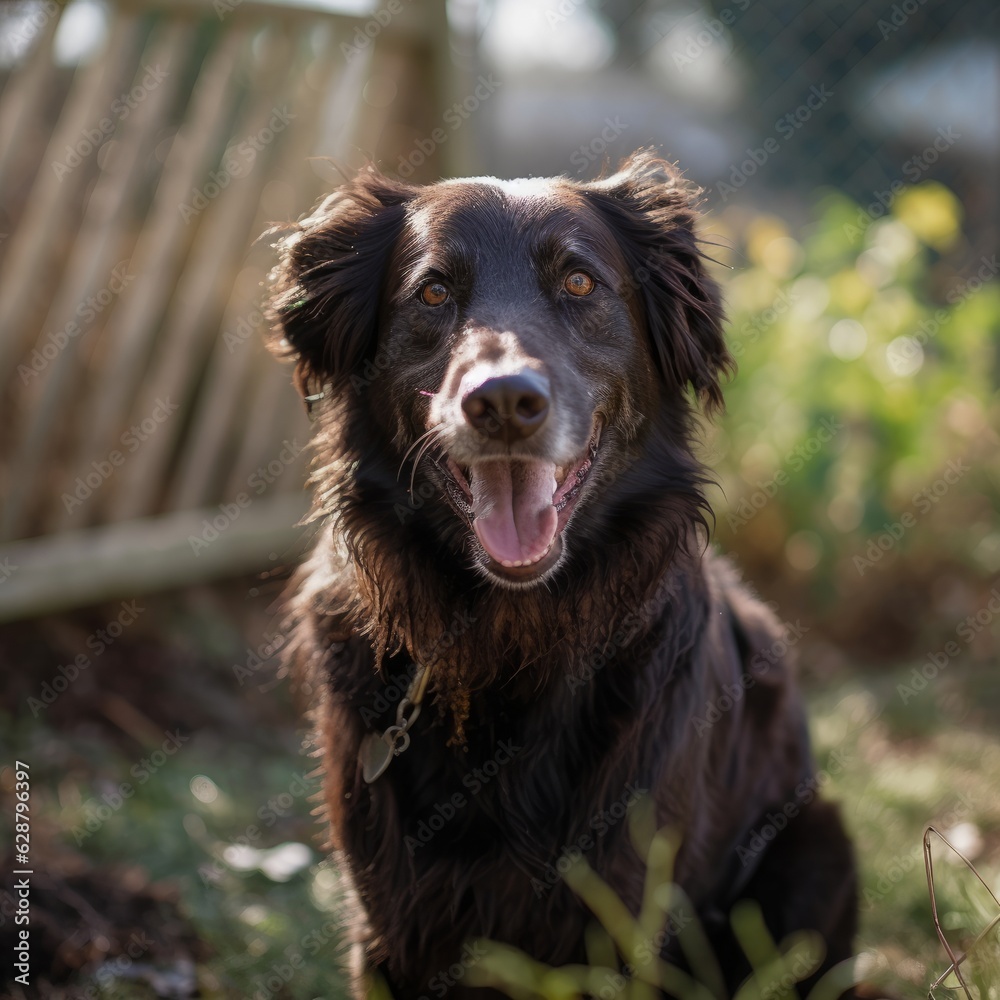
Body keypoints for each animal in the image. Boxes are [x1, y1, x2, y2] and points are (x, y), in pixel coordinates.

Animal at [268, 150, 860, 1000]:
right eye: (433, 291)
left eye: (579, 282)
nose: (504, 402)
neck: (505, 639)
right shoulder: (388, 926)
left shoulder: (623, 921)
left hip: (817, 854)